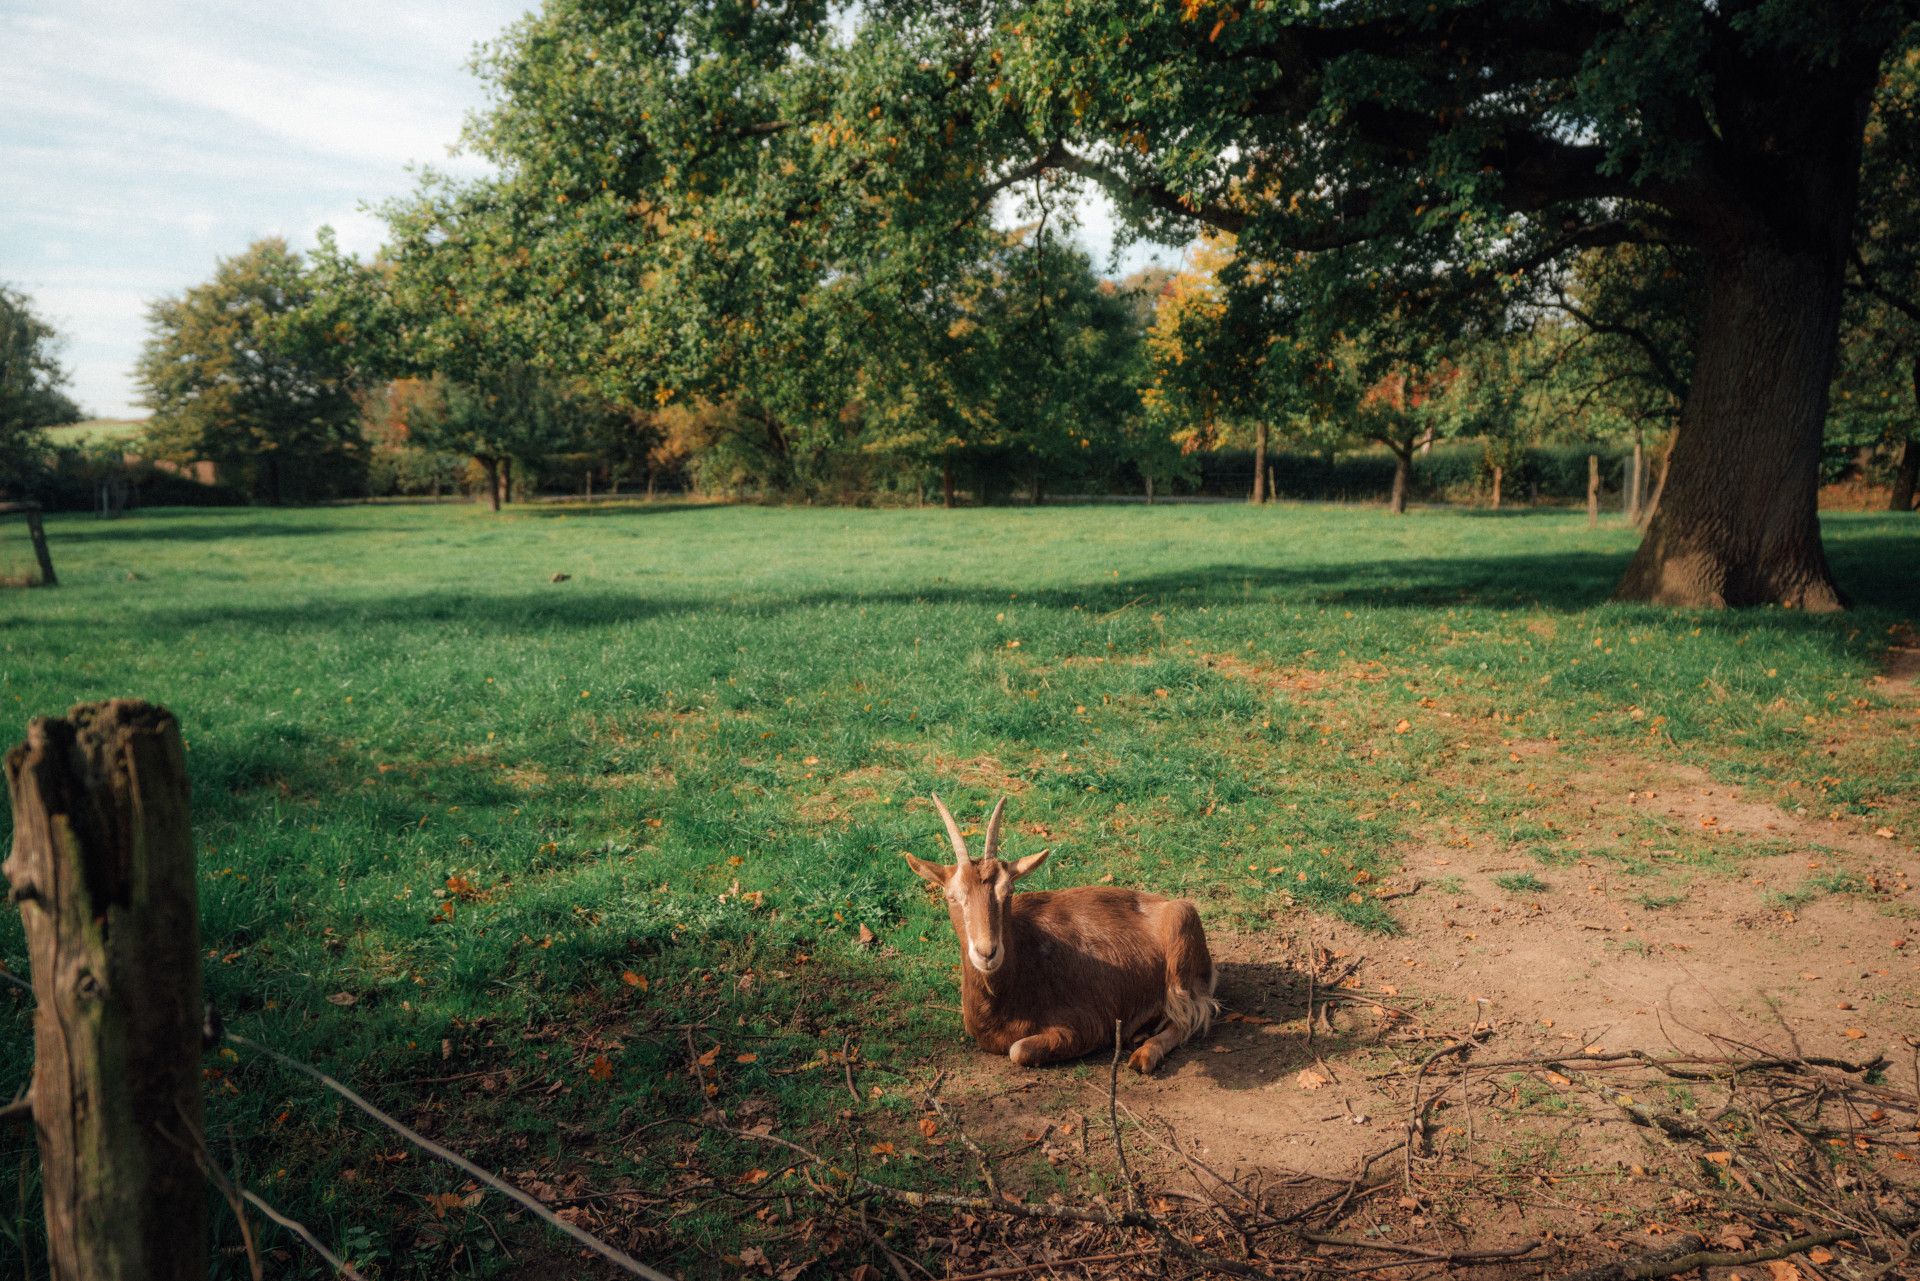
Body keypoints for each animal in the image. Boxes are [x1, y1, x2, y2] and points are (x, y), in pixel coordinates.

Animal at [902, 791, 1213, 1075]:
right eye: (952, 896)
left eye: (1008, 891)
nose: (987, 953)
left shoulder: (1085, 1022)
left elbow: (1019, 1049)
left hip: (1181, 946)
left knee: (1195, 1015)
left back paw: (1145, 1053)